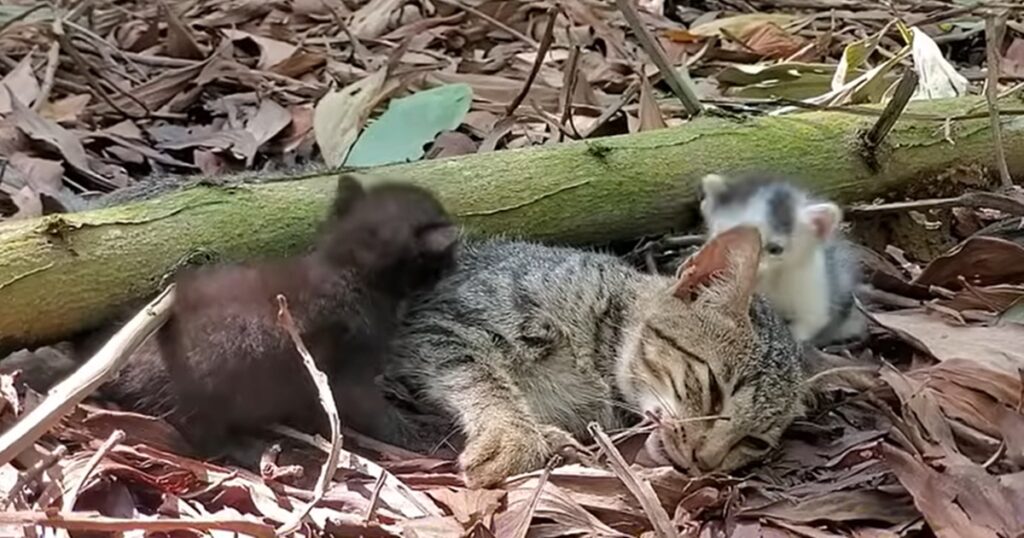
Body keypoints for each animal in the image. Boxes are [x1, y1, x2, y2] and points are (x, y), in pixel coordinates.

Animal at [380, 224, 811, 487]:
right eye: (713, 391)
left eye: (754, 442)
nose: (704, 462)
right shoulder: (442, 320)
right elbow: (481, 376)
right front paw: (514, 435)